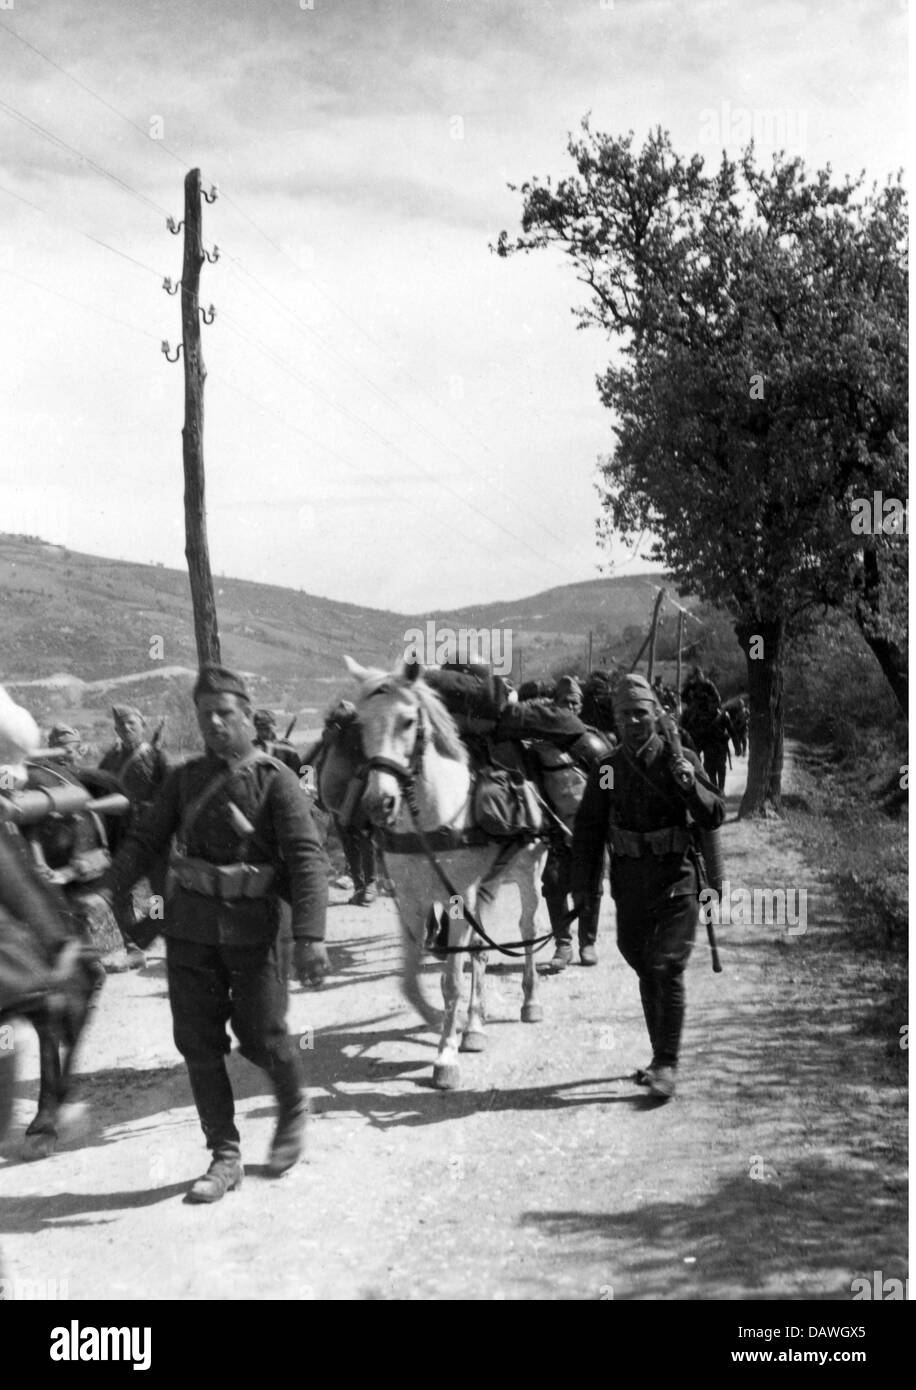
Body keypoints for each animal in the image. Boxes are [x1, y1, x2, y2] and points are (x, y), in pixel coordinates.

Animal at [341, 656, 544, 1089]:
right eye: (362, 724)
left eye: (407, 721)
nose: (380, 803)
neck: (431, 819)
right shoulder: (411, 902)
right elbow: (410, 980)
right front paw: (440, 1020)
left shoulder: (456, 900)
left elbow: (451, 979)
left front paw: (446, 1056)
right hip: (485, 890)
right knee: (481, 951)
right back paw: (475, 1026)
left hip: (528, 876)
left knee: (527, 930)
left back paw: (530, 1001)